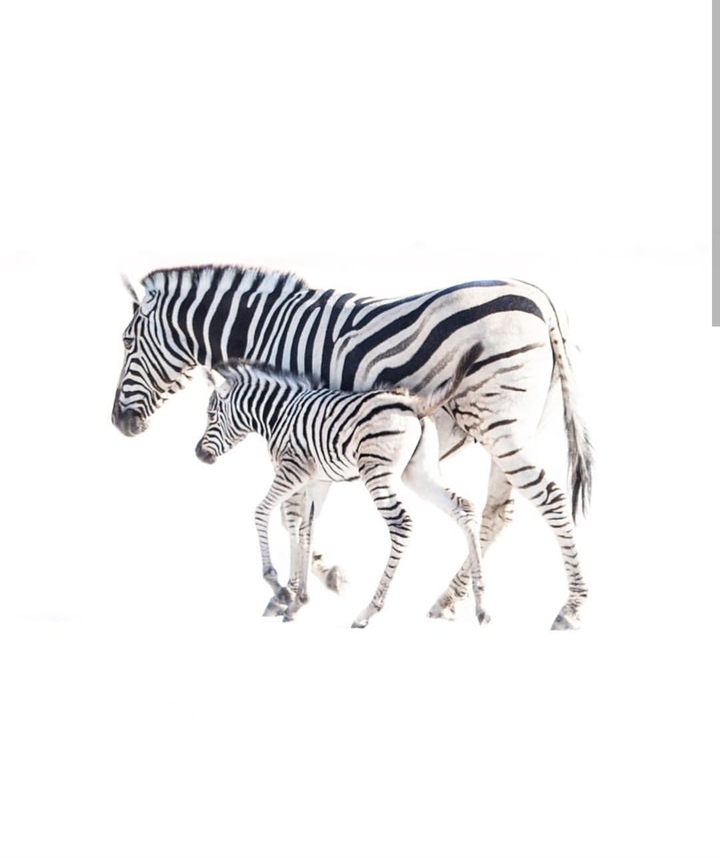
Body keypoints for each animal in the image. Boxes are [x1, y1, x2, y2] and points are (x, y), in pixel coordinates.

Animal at [195, 350, 486, 627]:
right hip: (419, 473)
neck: (279, 414)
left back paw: (368, 611)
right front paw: (298, 601)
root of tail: (413, 403)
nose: (198, 454)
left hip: (376, 472)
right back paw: (481, 604)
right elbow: (306, 530)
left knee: (401, 524)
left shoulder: (292, 470)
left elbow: (262, 512)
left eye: (210, 415)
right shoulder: (318, 481)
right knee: (464, 508)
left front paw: (279, 589)